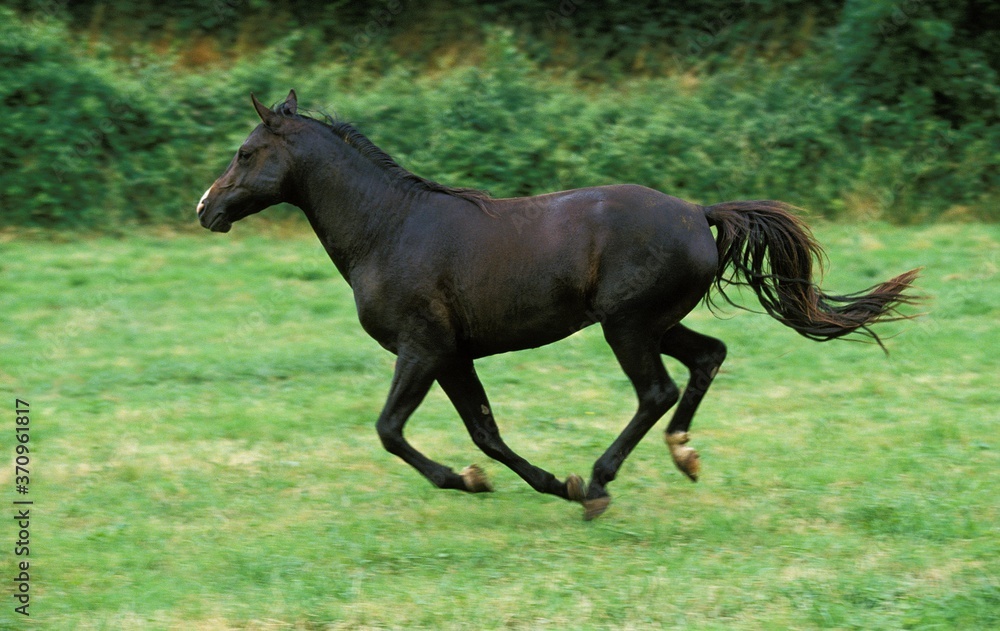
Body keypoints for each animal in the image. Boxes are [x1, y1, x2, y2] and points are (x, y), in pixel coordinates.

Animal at [197, 91, 920, 520]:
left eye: (246, 152)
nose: (206, 209)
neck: (390, 229)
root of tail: (698, 211)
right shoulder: (453, 355)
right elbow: (486, 433)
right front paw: (543, 481)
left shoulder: (421, 348)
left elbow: (391, 430)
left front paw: (472, 481)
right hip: (655, 321)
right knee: (708, 357)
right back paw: (681, 455)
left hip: (627, 324)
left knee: (657, 390)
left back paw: (601, 484)